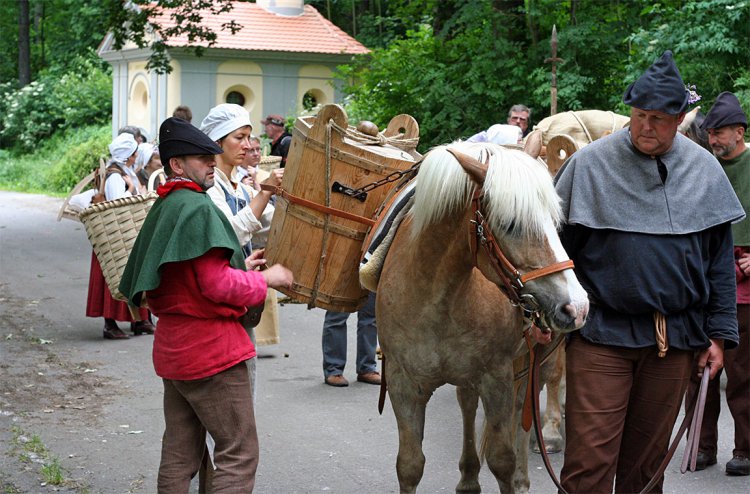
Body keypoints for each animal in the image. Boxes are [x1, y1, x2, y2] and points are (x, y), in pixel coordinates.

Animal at [378, 141, 592, 492]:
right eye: (511, 223)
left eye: (555, 221)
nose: (576, 306)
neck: (438, 297)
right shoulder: (402, 382)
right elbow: (409, 466)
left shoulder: (497, 377)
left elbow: (502, 459)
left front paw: (514, 474)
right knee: (468, 401)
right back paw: (468, 477)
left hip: (535, 359)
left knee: (525, 406)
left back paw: (528, 466)